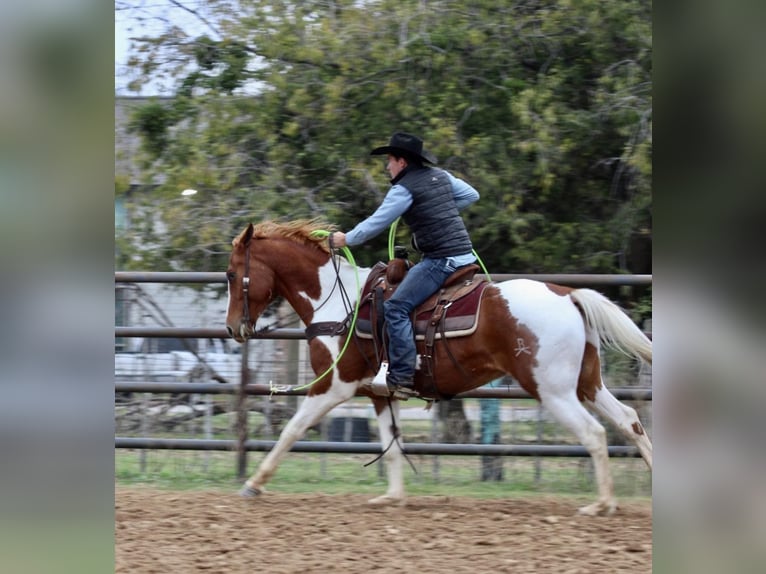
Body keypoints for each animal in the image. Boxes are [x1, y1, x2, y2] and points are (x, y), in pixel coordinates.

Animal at [226, 220, 656, 516]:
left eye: (231, 274)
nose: (232, 328)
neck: (335, 304)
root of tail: (568, 295)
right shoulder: (380, 393)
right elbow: (392, 445)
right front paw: (392, 497)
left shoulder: (333, 386)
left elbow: (291, 430)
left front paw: (253, 484)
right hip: (587, 384)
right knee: (629, 420)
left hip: (553, 391)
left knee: (594, 433)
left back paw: (600, 505)